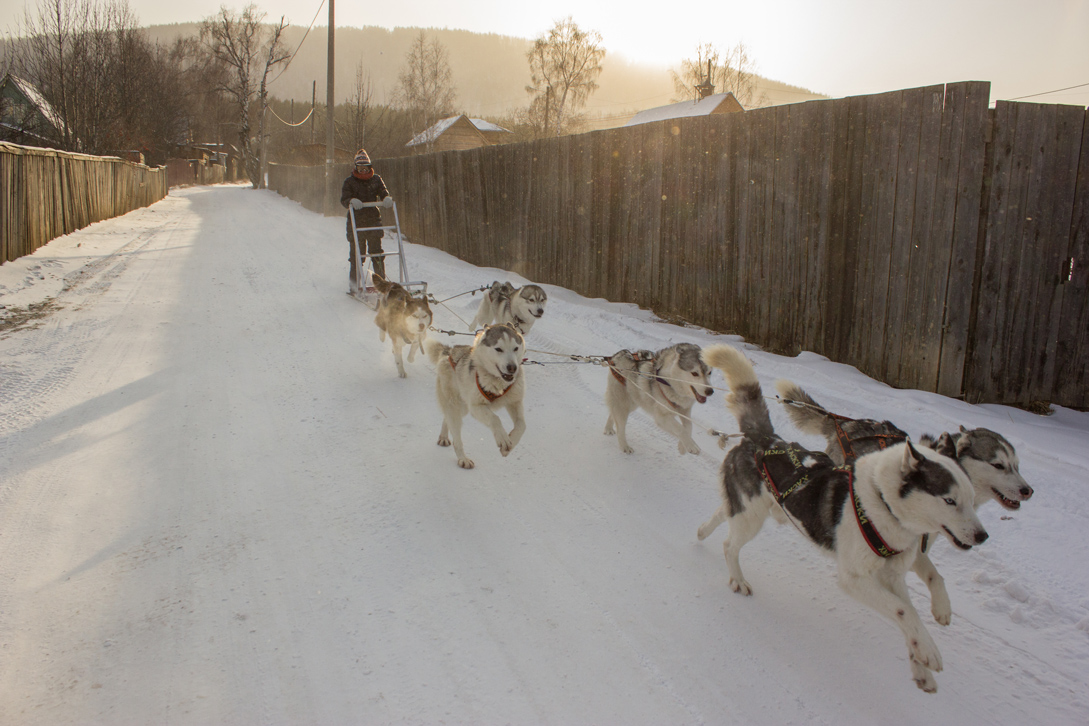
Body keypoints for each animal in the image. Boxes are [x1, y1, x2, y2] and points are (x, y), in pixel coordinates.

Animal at [424, 324, 527, 472]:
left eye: (515, 348)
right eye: (498, 349)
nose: (512, 367)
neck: (498, 383)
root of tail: (449, 351)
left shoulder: (514, 402)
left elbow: (522, 425)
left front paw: (511, 443)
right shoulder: (476, 407)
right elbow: (495, 419)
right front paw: (503, 439)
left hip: (462, 407)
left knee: (447, 418)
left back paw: (443, 437)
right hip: (457, 405)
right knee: (456, 436)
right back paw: (463, 459)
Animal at [696, 346, 988, 692]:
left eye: (971, 499)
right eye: (950, 500)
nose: (982, 536)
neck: (881, 504)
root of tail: (763, 437)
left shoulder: (892, 577)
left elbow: (909, 613)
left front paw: (920, 663)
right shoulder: (854, 578)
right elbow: (904, 610)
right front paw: (929, 653)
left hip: (747, 510)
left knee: (721, 514)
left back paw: (702, 532)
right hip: (751, 519)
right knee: (730, 545)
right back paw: (737, 578)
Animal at [775, 380, 1028, 626]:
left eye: (1017, 465)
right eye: (998, 465)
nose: (1028, 490)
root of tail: (846, 424)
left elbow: (934, 576)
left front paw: (940, 609)